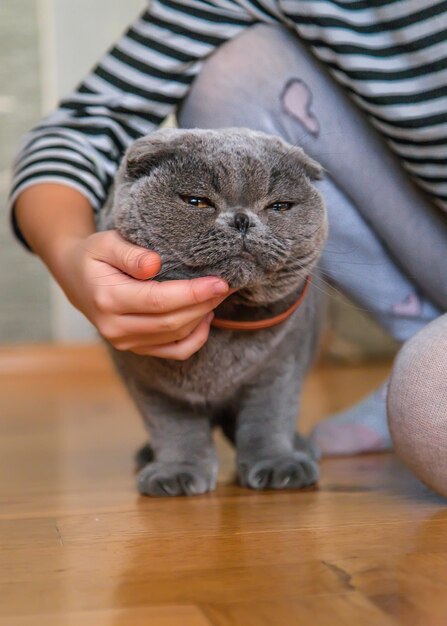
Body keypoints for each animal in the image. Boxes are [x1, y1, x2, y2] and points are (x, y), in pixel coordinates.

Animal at [99, 127, 328, 494]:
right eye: (197, 201)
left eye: (279, 206)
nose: (242, 220)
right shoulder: (150, 383)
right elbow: (175, 429)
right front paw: (177, 472)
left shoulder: (280, 367)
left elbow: (269, 418)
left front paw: (277, 464)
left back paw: (301, 447)